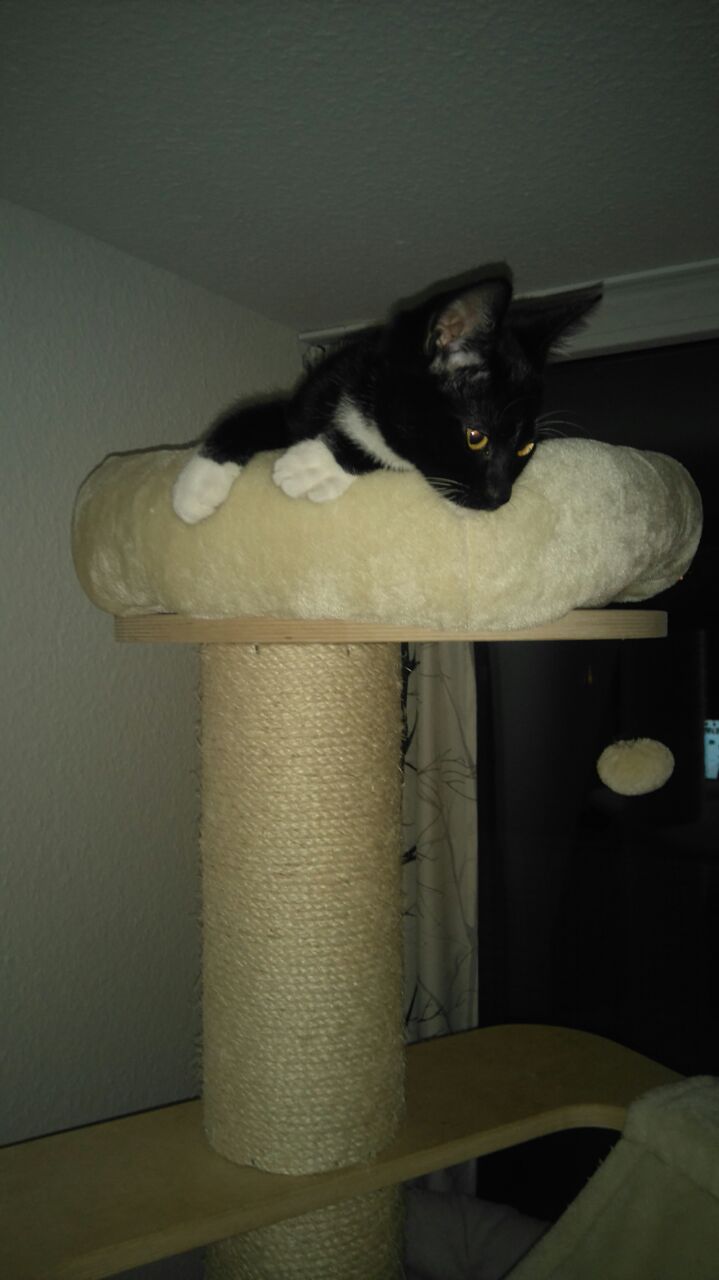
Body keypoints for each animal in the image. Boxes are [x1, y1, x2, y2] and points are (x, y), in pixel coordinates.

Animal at [172, 265, 602, 523]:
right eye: (476, 437)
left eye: (526, 448)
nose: (501, 497)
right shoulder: (309, 397)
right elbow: (250, 416)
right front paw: (198, 485)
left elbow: (385, 451)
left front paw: (313, 465)